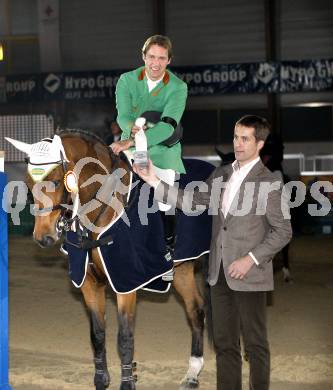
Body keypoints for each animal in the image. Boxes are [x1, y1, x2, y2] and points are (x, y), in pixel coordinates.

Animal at [6, 130, 209, 390]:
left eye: (55, 181)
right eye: (29, 184)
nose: (44, 237)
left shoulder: (126, 285)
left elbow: (124, 338)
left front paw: (127, 383)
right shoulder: (89, 284)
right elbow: (97, 334)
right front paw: (101, 381)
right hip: (183, 269)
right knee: (196, 309)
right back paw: (192, 373)